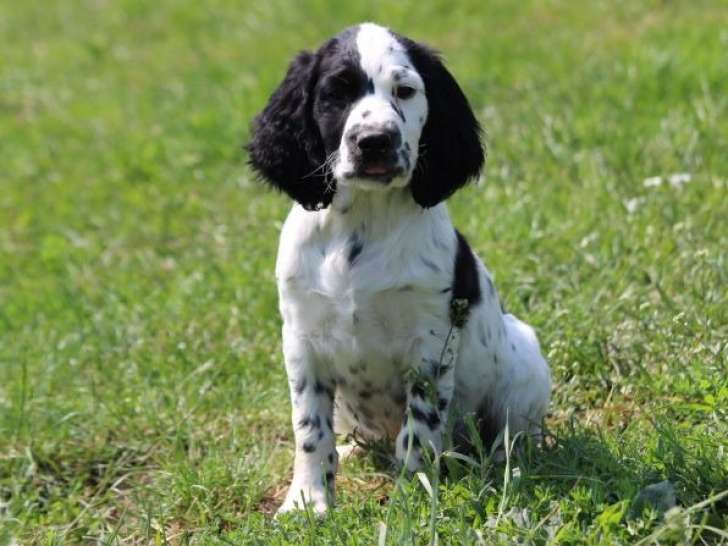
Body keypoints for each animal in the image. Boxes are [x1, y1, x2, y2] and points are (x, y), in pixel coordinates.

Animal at [247, 22, 548, 516]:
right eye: (336, 93)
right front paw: (308, 503)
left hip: (523, 363)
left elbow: (418, 432)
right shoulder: (301, 339)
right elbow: (309, 427)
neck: (362, 223)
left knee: (511, 433)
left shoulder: (429, 345)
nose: (374, 141)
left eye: (405, 91)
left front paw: (413, 500)